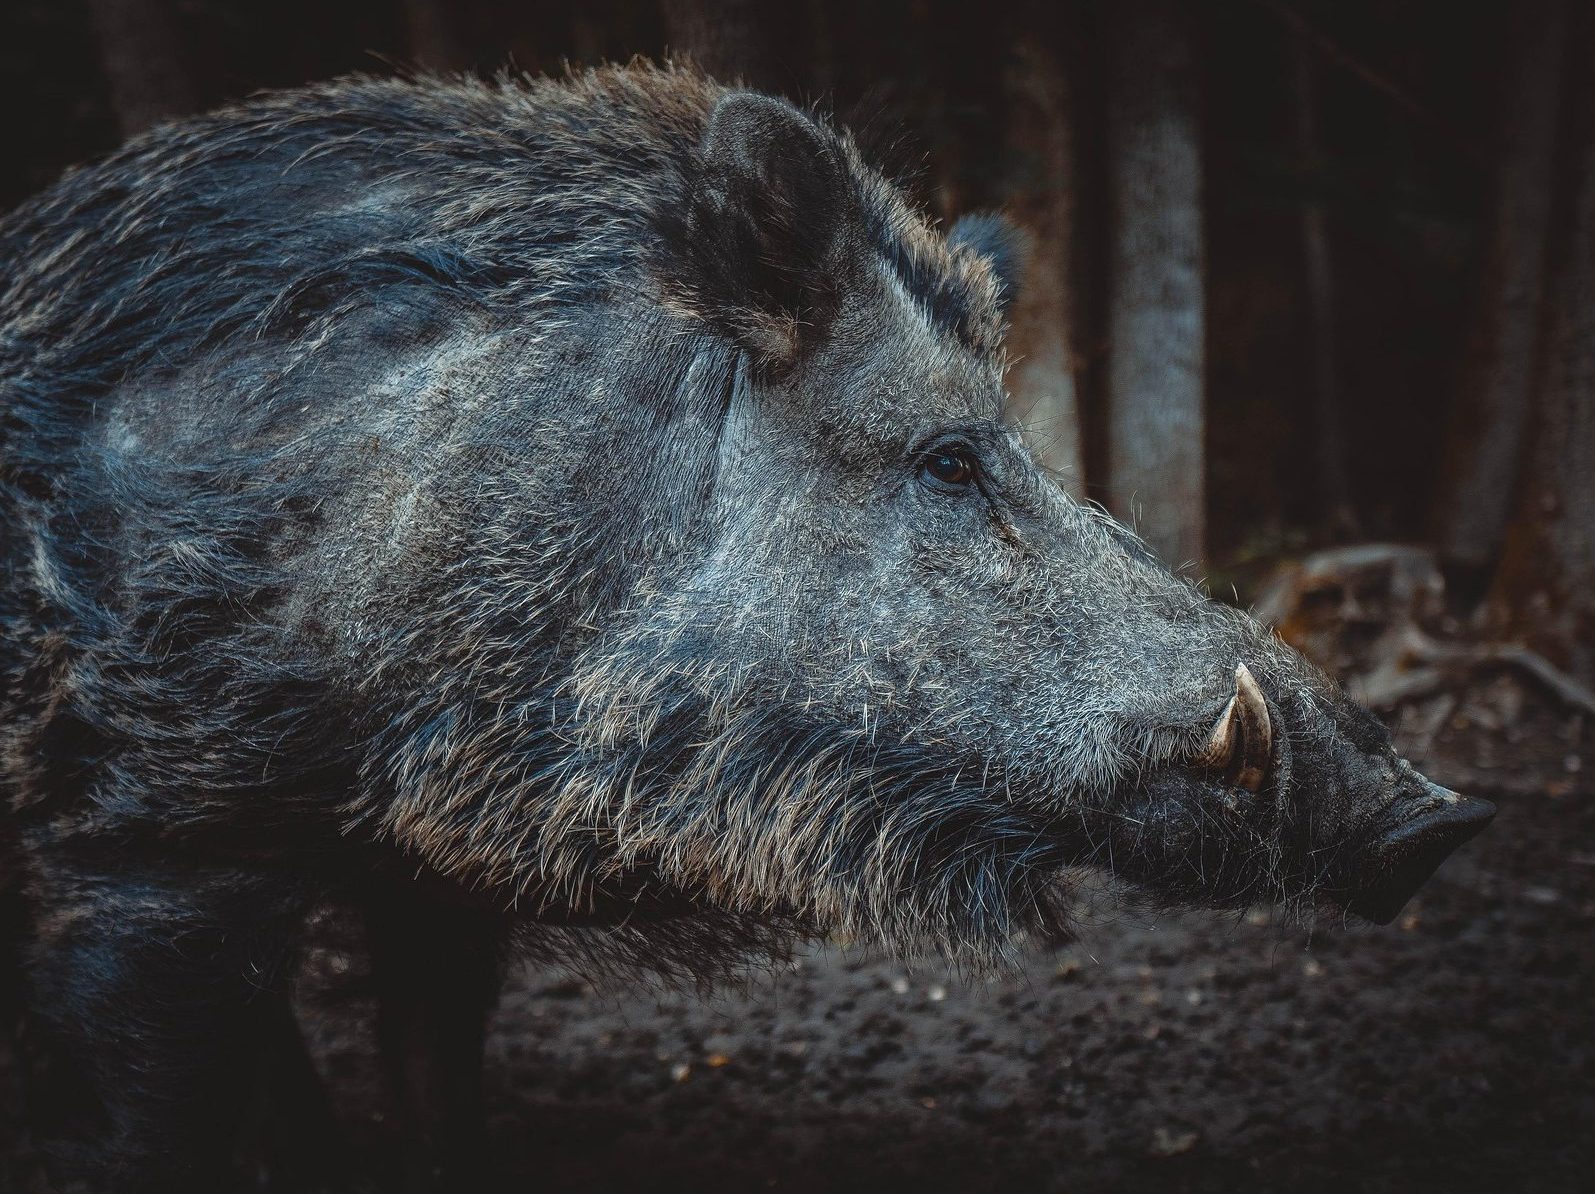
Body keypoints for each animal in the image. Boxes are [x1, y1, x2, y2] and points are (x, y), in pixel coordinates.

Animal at [0, 64, 1494, 1190]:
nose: (1437, 814)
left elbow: (436, 1082)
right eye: (948, 458)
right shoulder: (148, 852)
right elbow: (165, 1126)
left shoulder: (424, 868)